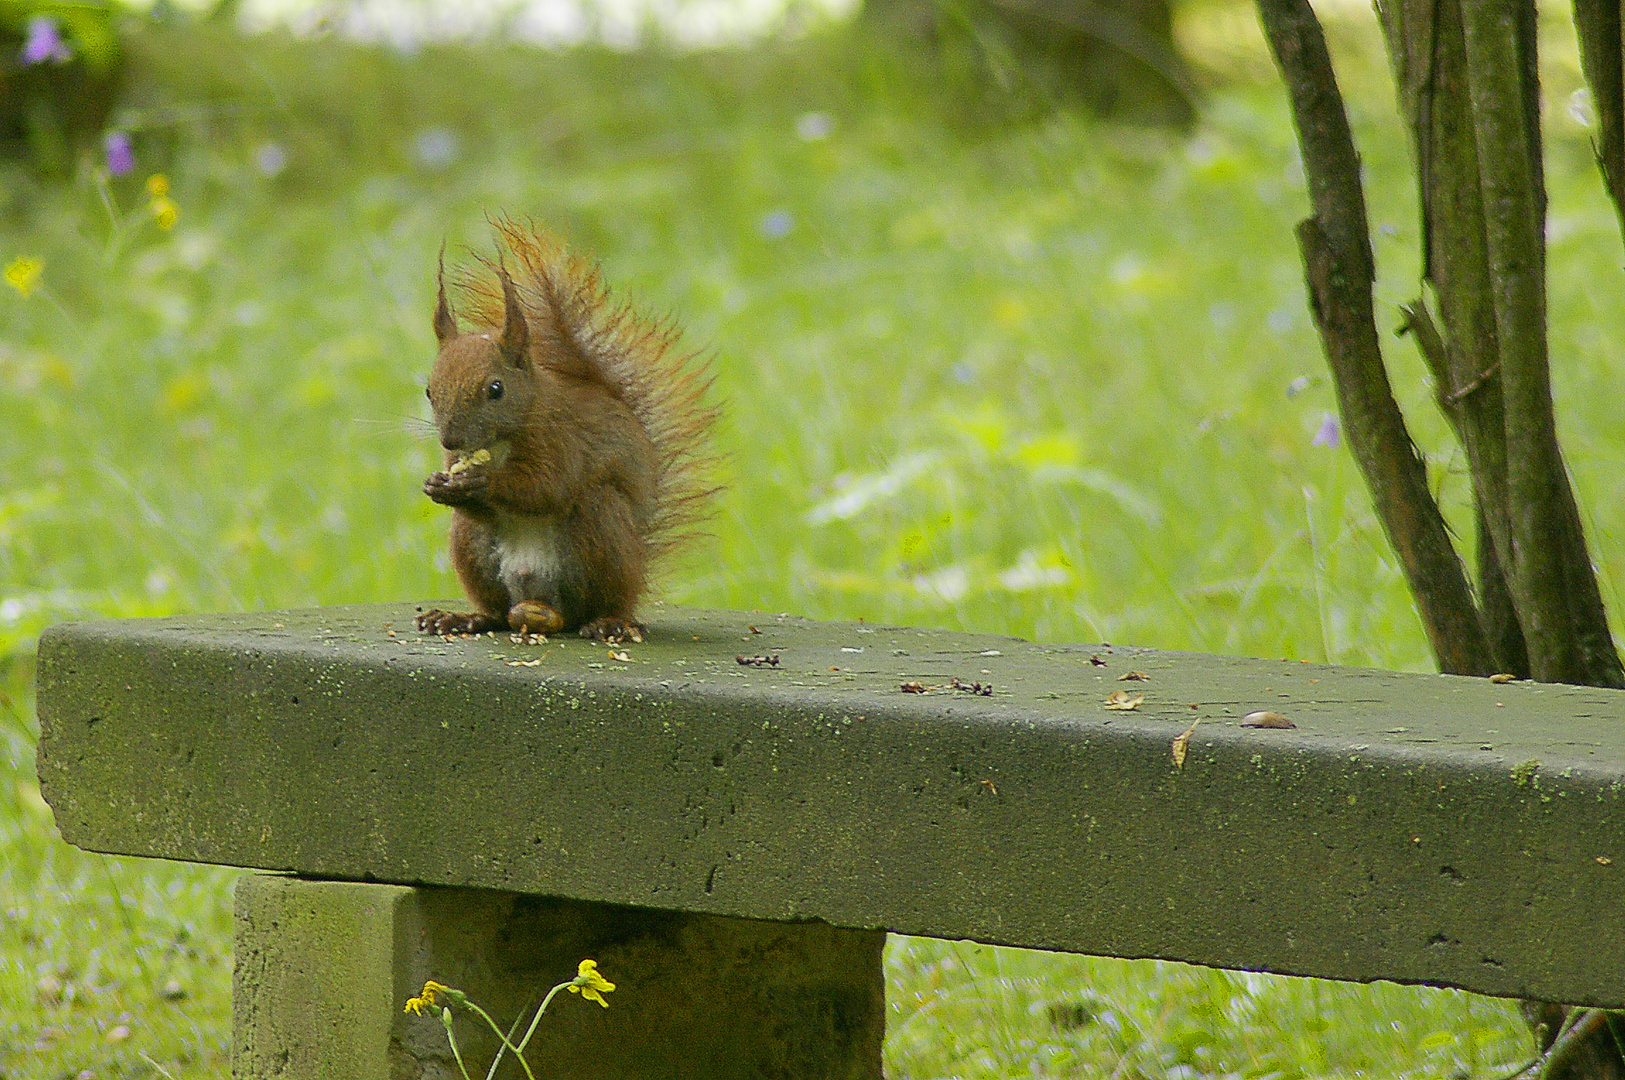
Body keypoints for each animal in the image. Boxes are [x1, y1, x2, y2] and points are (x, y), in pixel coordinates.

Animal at [419, 217, 718, 639]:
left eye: (496, 389)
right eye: (429, 390)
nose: (450, 439)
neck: (499, 443)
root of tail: (543, 604)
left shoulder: (562, 440)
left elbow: (547, 488)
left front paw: (483, 481)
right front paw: (437, 485)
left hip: (602, 526)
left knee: (605, 599)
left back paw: (609, 622)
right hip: (472, 548)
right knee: (496, 609)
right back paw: (466, 618)